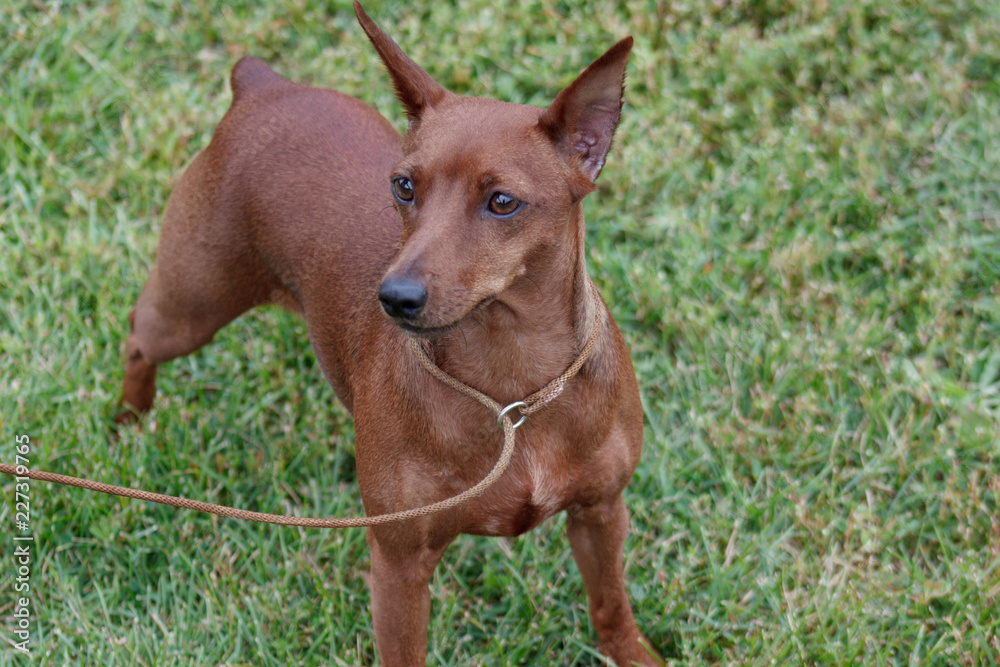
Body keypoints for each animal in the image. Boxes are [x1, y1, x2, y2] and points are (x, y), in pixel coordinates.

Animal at [117, 2, 660, 664]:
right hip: (190, 307)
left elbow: (611, 606)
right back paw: (129, 421)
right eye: (404, 186)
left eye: (503, 202)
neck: (513, 392)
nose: (394, 297)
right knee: (138, 338)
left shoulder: (600, 513)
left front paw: (636, 655)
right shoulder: (399, 565)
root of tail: (264, 87)